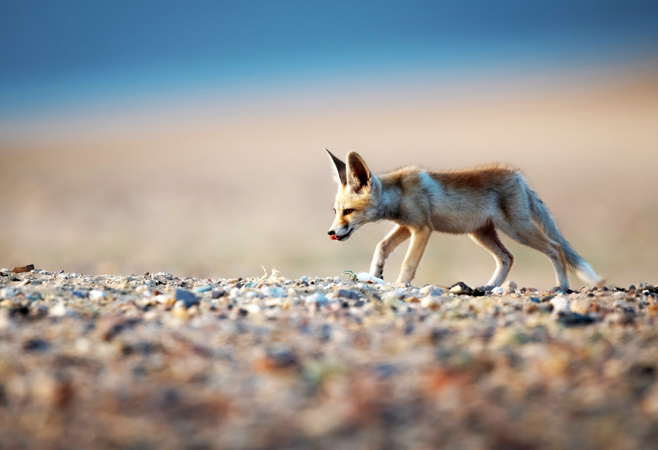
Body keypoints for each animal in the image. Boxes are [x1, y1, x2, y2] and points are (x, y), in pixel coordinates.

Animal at [325, 149, 600, 291]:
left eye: (348, 211)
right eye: (335, 211)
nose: (331, 232)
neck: (400, 193)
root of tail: (519, 178)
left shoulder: (422, 228)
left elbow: (408, 263)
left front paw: (401, 285)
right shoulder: (405, 226)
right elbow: (381, 247)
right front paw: (375, 274)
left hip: (517, 229)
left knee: (555, 248)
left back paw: (562, 287)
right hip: (481, 234)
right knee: (507, 257)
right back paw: (490, 287)